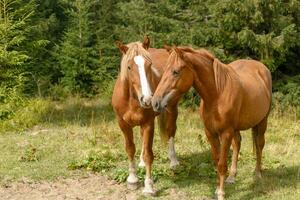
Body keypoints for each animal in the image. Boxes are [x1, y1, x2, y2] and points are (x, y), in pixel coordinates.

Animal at [111, 37, 179, 195]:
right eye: (129, 67)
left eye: (149, 65)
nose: (147, 99)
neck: (131, 100)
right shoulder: (123, 124)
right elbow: (130, 149)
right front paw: (132, 179)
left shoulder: (148, 123)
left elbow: (149, 154)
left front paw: (148, 186)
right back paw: (141, 162)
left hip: (172, 109)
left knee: (171, 131)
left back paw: (174, 161)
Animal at [152, 46, 272, 198]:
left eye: (175, 72)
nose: (155, 102)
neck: (217, 95)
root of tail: (261, 67)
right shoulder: (210, 133)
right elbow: (216, 160)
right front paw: (218, 188)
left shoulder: (225, 133)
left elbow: (221, 164)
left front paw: (220, 193)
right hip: (236, 129)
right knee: (238, 144)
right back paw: (232, 177)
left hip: (262, 121)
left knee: (259, 144)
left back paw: (257, 174)